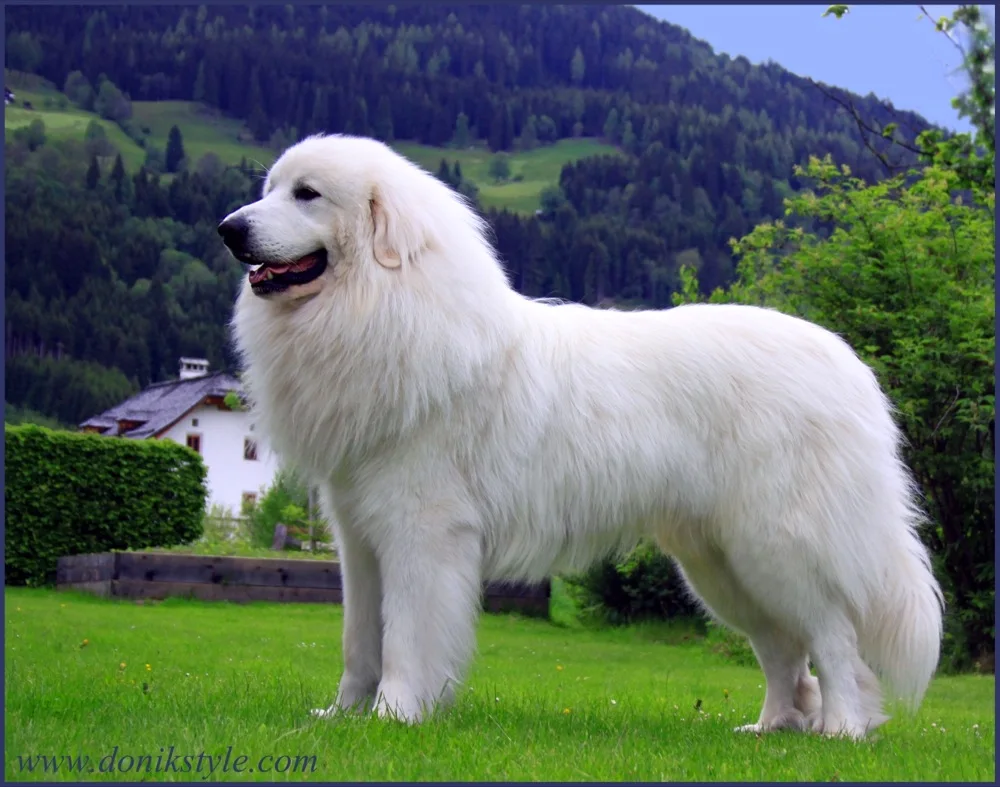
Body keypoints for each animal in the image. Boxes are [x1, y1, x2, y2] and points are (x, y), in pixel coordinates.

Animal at [221, 135, 944, 740]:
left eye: (307, 194)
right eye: (271, 187)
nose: (230, 229)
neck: (381, 305)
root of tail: (850, 367)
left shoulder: (421, 534)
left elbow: (405, 639)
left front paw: (397, 714)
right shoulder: (358, 538)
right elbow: (358, 641)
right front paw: (342, 716)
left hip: (780, 548)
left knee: (836, 639)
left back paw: (843, 728)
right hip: (722, 566)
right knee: (785, 651)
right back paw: (769, 728)